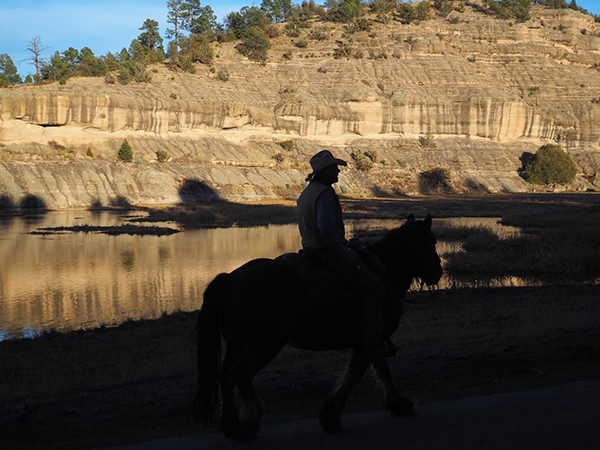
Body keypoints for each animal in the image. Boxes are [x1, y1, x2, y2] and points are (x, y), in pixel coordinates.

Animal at [195, 214, 442, 440]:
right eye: (430, 242)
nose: (437, 273)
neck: (384, 272)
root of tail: (230, 280)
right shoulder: (368, 340)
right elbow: (355, 375)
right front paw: (331, 416)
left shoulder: (373, 338)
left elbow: (382, 371)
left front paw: (398, 404)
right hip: (265, 345)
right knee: (240, 373)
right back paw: (252, 419)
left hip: (237, 344)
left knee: (225, 375)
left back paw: (232, 426)